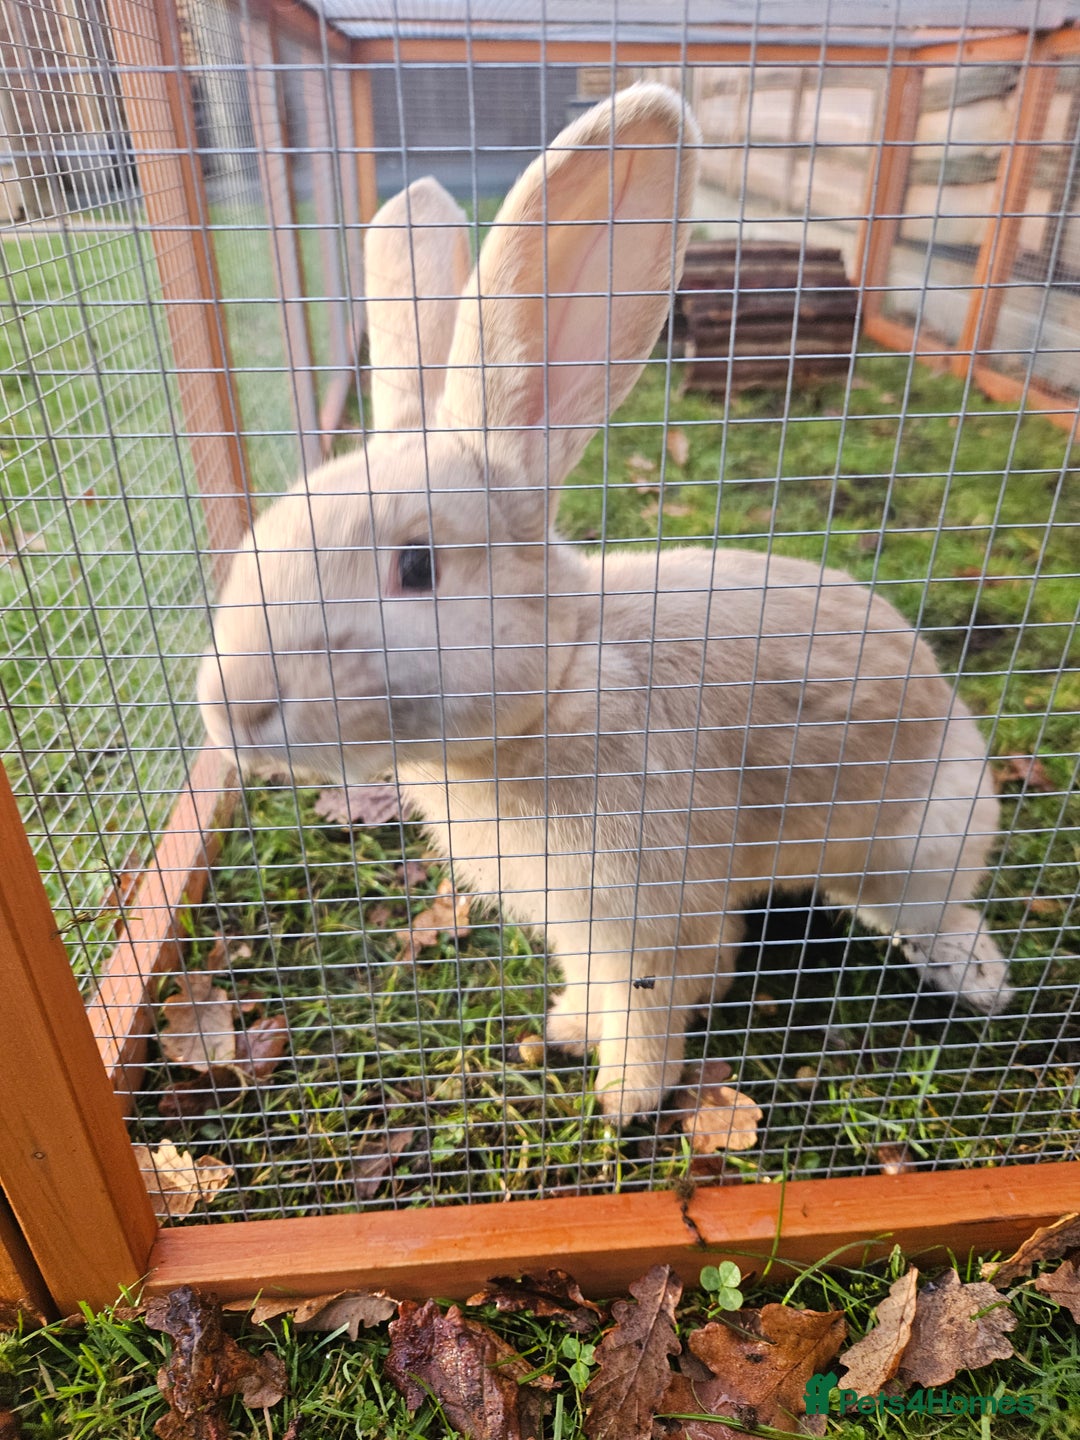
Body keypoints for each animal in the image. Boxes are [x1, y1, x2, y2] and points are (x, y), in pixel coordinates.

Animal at [199, 84, 1012, 1125]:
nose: (232, 710)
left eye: (417, 567)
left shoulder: (648, 904)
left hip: (918, 844)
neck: (551, 695)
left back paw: (976, 978)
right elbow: (599, 985)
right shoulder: (581, 921)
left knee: (939, 907)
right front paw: (567, 1028)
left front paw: (625, 1097)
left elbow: (655, 1002)